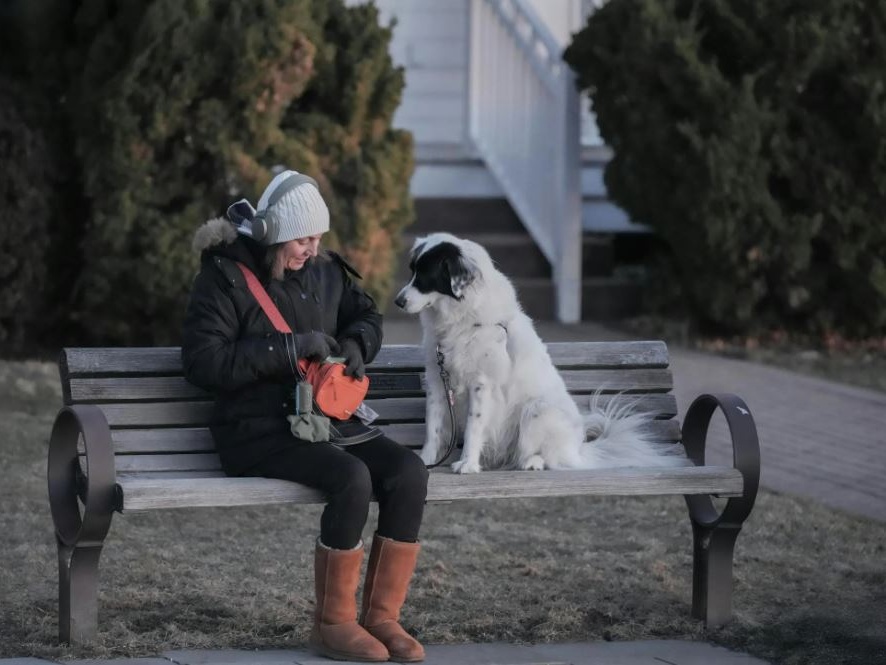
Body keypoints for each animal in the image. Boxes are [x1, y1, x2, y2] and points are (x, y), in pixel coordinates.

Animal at [392, 233, 692, 472]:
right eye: (412, 272)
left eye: (426, 276)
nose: (398, 301)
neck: (462, 318)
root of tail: (580, 451)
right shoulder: (437, 380)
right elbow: (433, 427)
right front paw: (427, 460)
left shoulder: (482, 385)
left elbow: (475, 426)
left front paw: (467, 464)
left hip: (537, 410)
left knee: (549, 457)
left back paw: (531, 461)